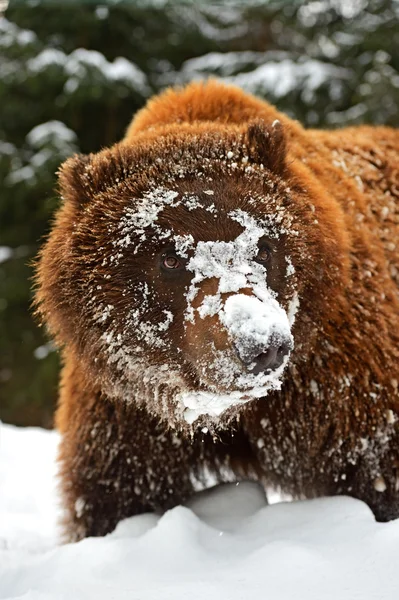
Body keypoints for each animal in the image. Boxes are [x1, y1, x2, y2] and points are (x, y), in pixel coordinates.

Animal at [35, 77, 399, 540]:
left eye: (264, 246)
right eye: (170, 258)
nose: (261, 345)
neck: (219, 412)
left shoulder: (339, 383)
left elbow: (377, 475)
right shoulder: (126, 415)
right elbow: (111, 498)